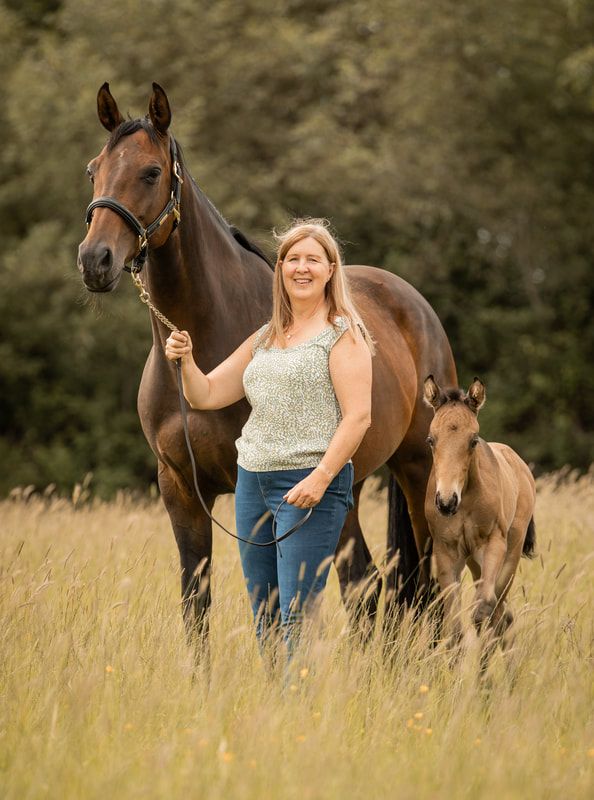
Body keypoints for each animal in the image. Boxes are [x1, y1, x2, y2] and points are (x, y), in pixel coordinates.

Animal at [77, 82, 457, 646]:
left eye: (150, 172)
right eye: (93, 169)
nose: (94, 260)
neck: (214, 332)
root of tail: (414, 304)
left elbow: (278, 604)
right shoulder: (181, 490)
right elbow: (196, 606)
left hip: (417, 471)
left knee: (419, 585)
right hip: (346, 487)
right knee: (369, 588)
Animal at [422, 375, 536, 650]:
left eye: (473, 440)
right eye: (431, 440)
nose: (446, 502)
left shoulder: (493, 544)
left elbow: (482, 611)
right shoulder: (446, 551)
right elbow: (454, 630)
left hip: (509, 557)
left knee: (499, 613)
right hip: (474, 562)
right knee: (501, 615)